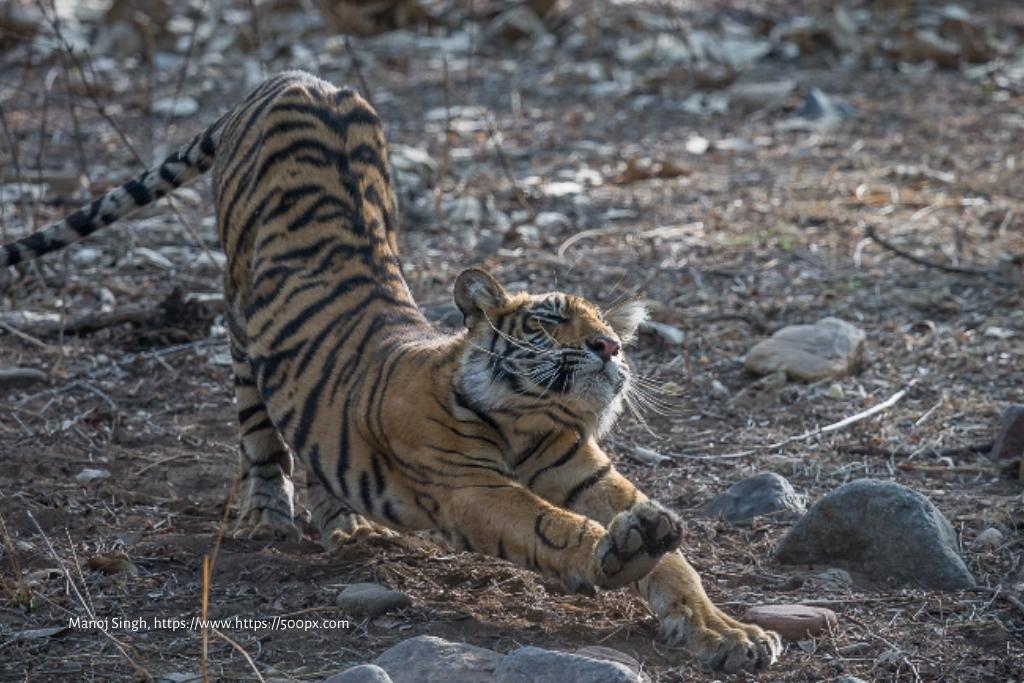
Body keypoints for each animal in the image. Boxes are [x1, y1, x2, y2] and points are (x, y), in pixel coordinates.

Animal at [0, 70, 778, 671]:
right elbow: (552, 525)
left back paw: (346, 526)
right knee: (261, 433)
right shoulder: (467, 487)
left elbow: (676, 563)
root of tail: (287, 76)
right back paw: (270, 518)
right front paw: (621, 552)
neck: (529, 419)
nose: (612, 347)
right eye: (550, 320)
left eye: (606, 326)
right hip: (238, 322)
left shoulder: (584, 469)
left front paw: (729, 634)